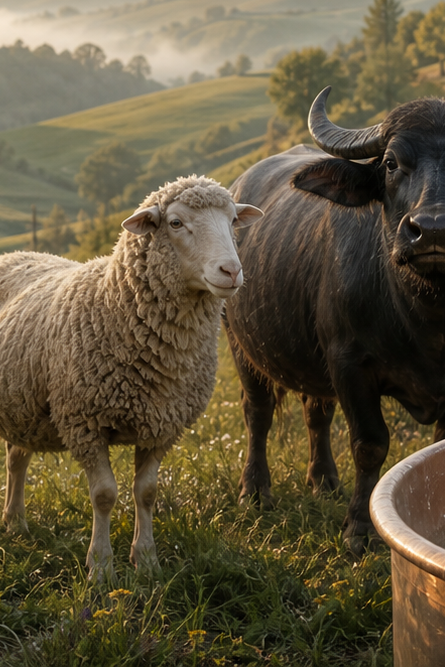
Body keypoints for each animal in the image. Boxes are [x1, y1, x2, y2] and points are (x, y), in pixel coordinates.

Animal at [0, 175, 263, 578]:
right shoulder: (84, 422)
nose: (231, 272)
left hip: (24, 406)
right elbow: (105, 495)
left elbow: (147, 492)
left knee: (16, 459)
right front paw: (101, 567)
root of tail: (15, 253)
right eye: (175, 223)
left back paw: (15, 522)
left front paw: (147, 560)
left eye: (234, 221)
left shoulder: (162, 425)